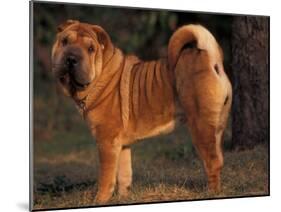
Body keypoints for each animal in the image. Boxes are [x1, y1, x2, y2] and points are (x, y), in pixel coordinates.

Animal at [51, 20, 231, 204]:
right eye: (65, 41)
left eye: (90, 49)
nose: (71, 59)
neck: (100, 77)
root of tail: (211, 59)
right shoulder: (122, 145)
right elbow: (124, 174)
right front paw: (124, 197)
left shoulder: (106, 142)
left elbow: (106, 177)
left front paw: (100, 200)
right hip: (217, 127)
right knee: (220, 158)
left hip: (201, 127)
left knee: (212, 161)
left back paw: (211, 192)